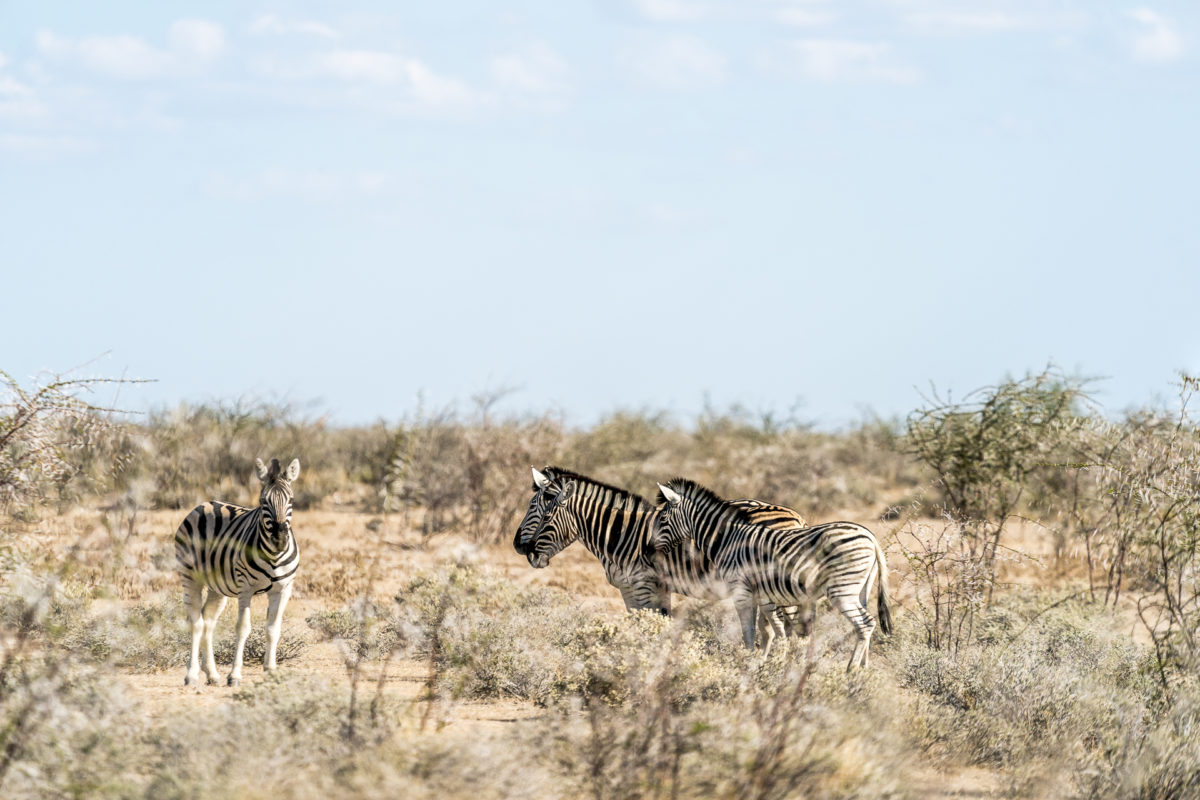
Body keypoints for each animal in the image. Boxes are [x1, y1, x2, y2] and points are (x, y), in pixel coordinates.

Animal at [175, 460, 302, 686]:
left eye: (292, 500)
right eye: (263, 501)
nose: (279, 539)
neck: (274, 555)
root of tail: (205, 504)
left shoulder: (284, 589)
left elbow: (273, 629)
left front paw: (271, 670)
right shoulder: (246, 588)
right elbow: (243, 628)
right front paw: (234, 675)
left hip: (217, 587)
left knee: (208, 622)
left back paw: (212, 674)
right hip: (190, 577)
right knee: (196, 623)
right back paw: (192, 675)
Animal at [513, 465, 806, 647]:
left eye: (539, 510)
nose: (519, 547)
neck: (620, 533)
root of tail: (797, 516)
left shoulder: (642, 584)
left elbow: (648, 629)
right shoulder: (642, 588)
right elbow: (650, 626)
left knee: (787, 631)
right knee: (774, 631)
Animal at [648, 474, 892, 671]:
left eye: (663, 519)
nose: (649, 548)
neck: (727, 540)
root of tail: (871, 537)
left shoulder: (741, 590)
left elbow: (749, 630)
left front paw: (748, 663)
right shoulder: (764, 595)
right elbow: (775, 629)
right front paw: (773, 662)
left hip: (841, 590)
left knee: (866, 623)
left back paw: (850, 670)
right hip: (860, 588)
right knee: (865, 624)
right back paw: (863, 671)